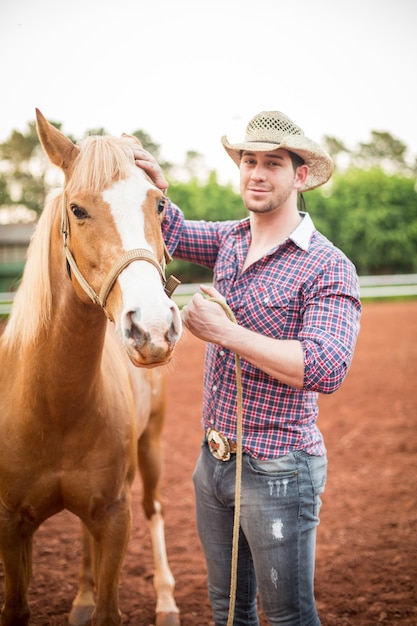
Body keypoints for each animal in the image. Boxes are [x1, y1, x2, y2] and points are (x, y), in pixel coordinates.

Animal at [0, 111, 182, 624]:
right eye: (78, 210)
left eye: (160, 205)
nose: (154, 328)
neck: (53, 405)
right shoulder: (10, 525)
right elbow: (15, 607)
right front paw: (84, 599)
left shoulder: (115, 516)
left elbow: (109, 609)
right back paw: (80, 598)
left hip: (152, 448)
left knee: (155, 510)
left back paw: (166, 600)